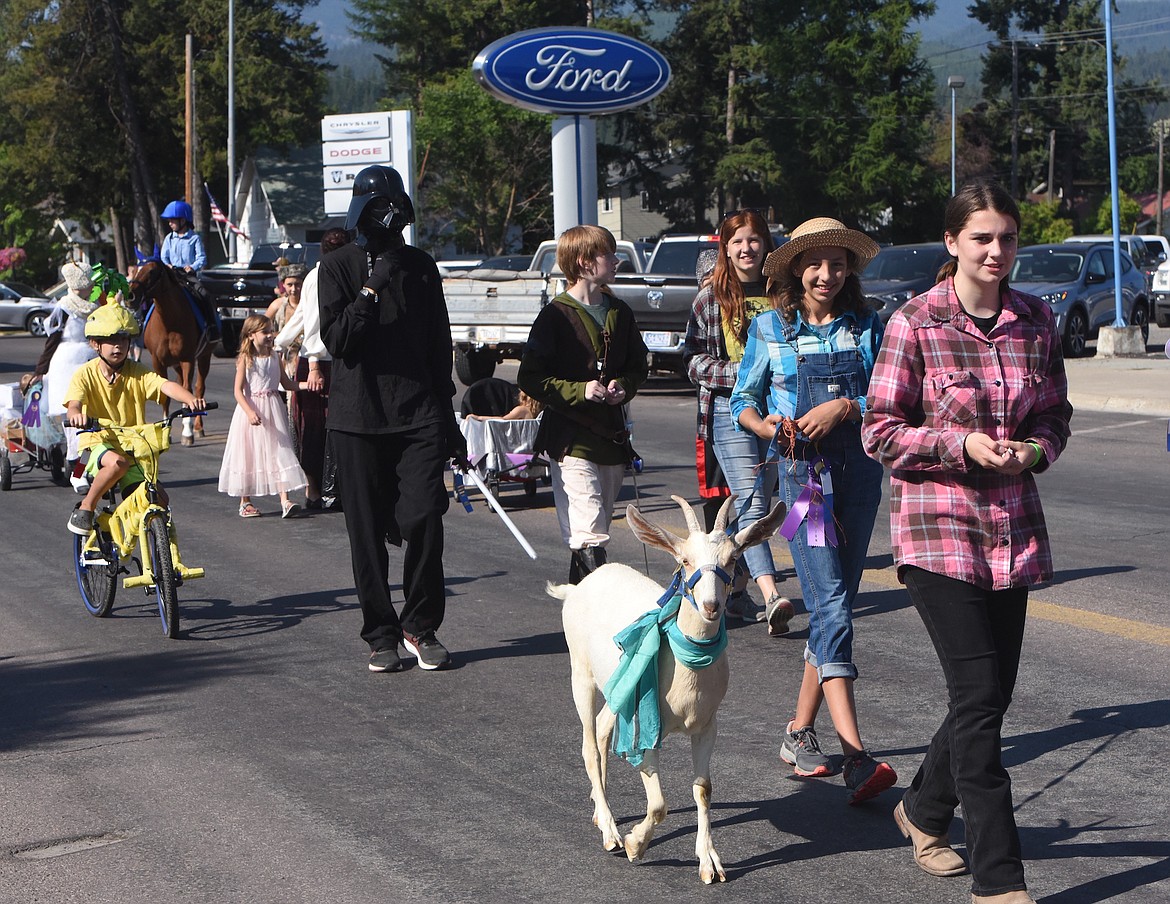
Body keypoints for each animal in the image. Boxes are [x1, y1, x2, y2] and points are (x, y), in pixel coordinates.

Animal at [130, 259, 215, 442]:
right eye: (135, 270)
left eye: (152, 271)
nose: (131, 296)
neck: (169, 323)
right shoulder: (158, 361)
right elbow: (166, 394)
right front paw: (165, 432)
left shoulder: (187, 359)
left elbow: (187, 390)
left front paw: (187, 432)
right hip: (176, 364)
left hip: (204, 357)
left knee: (198, 388)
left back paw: (198, 427)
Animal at [547, 493, 786, 879]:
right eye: (685, 561)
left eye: (732, 559)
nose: (710, 605)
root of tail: (579, 587)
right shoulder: (646, 726)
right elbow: (658, 803)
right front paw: (635, 844)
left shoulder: (706, 726)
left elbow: (703, 789)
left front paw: (709, 861)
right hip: (580, 673)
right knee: (589, 744)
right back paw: (610, 830)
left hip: (620, 689)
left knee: (602, 727)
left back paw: (600, 810)